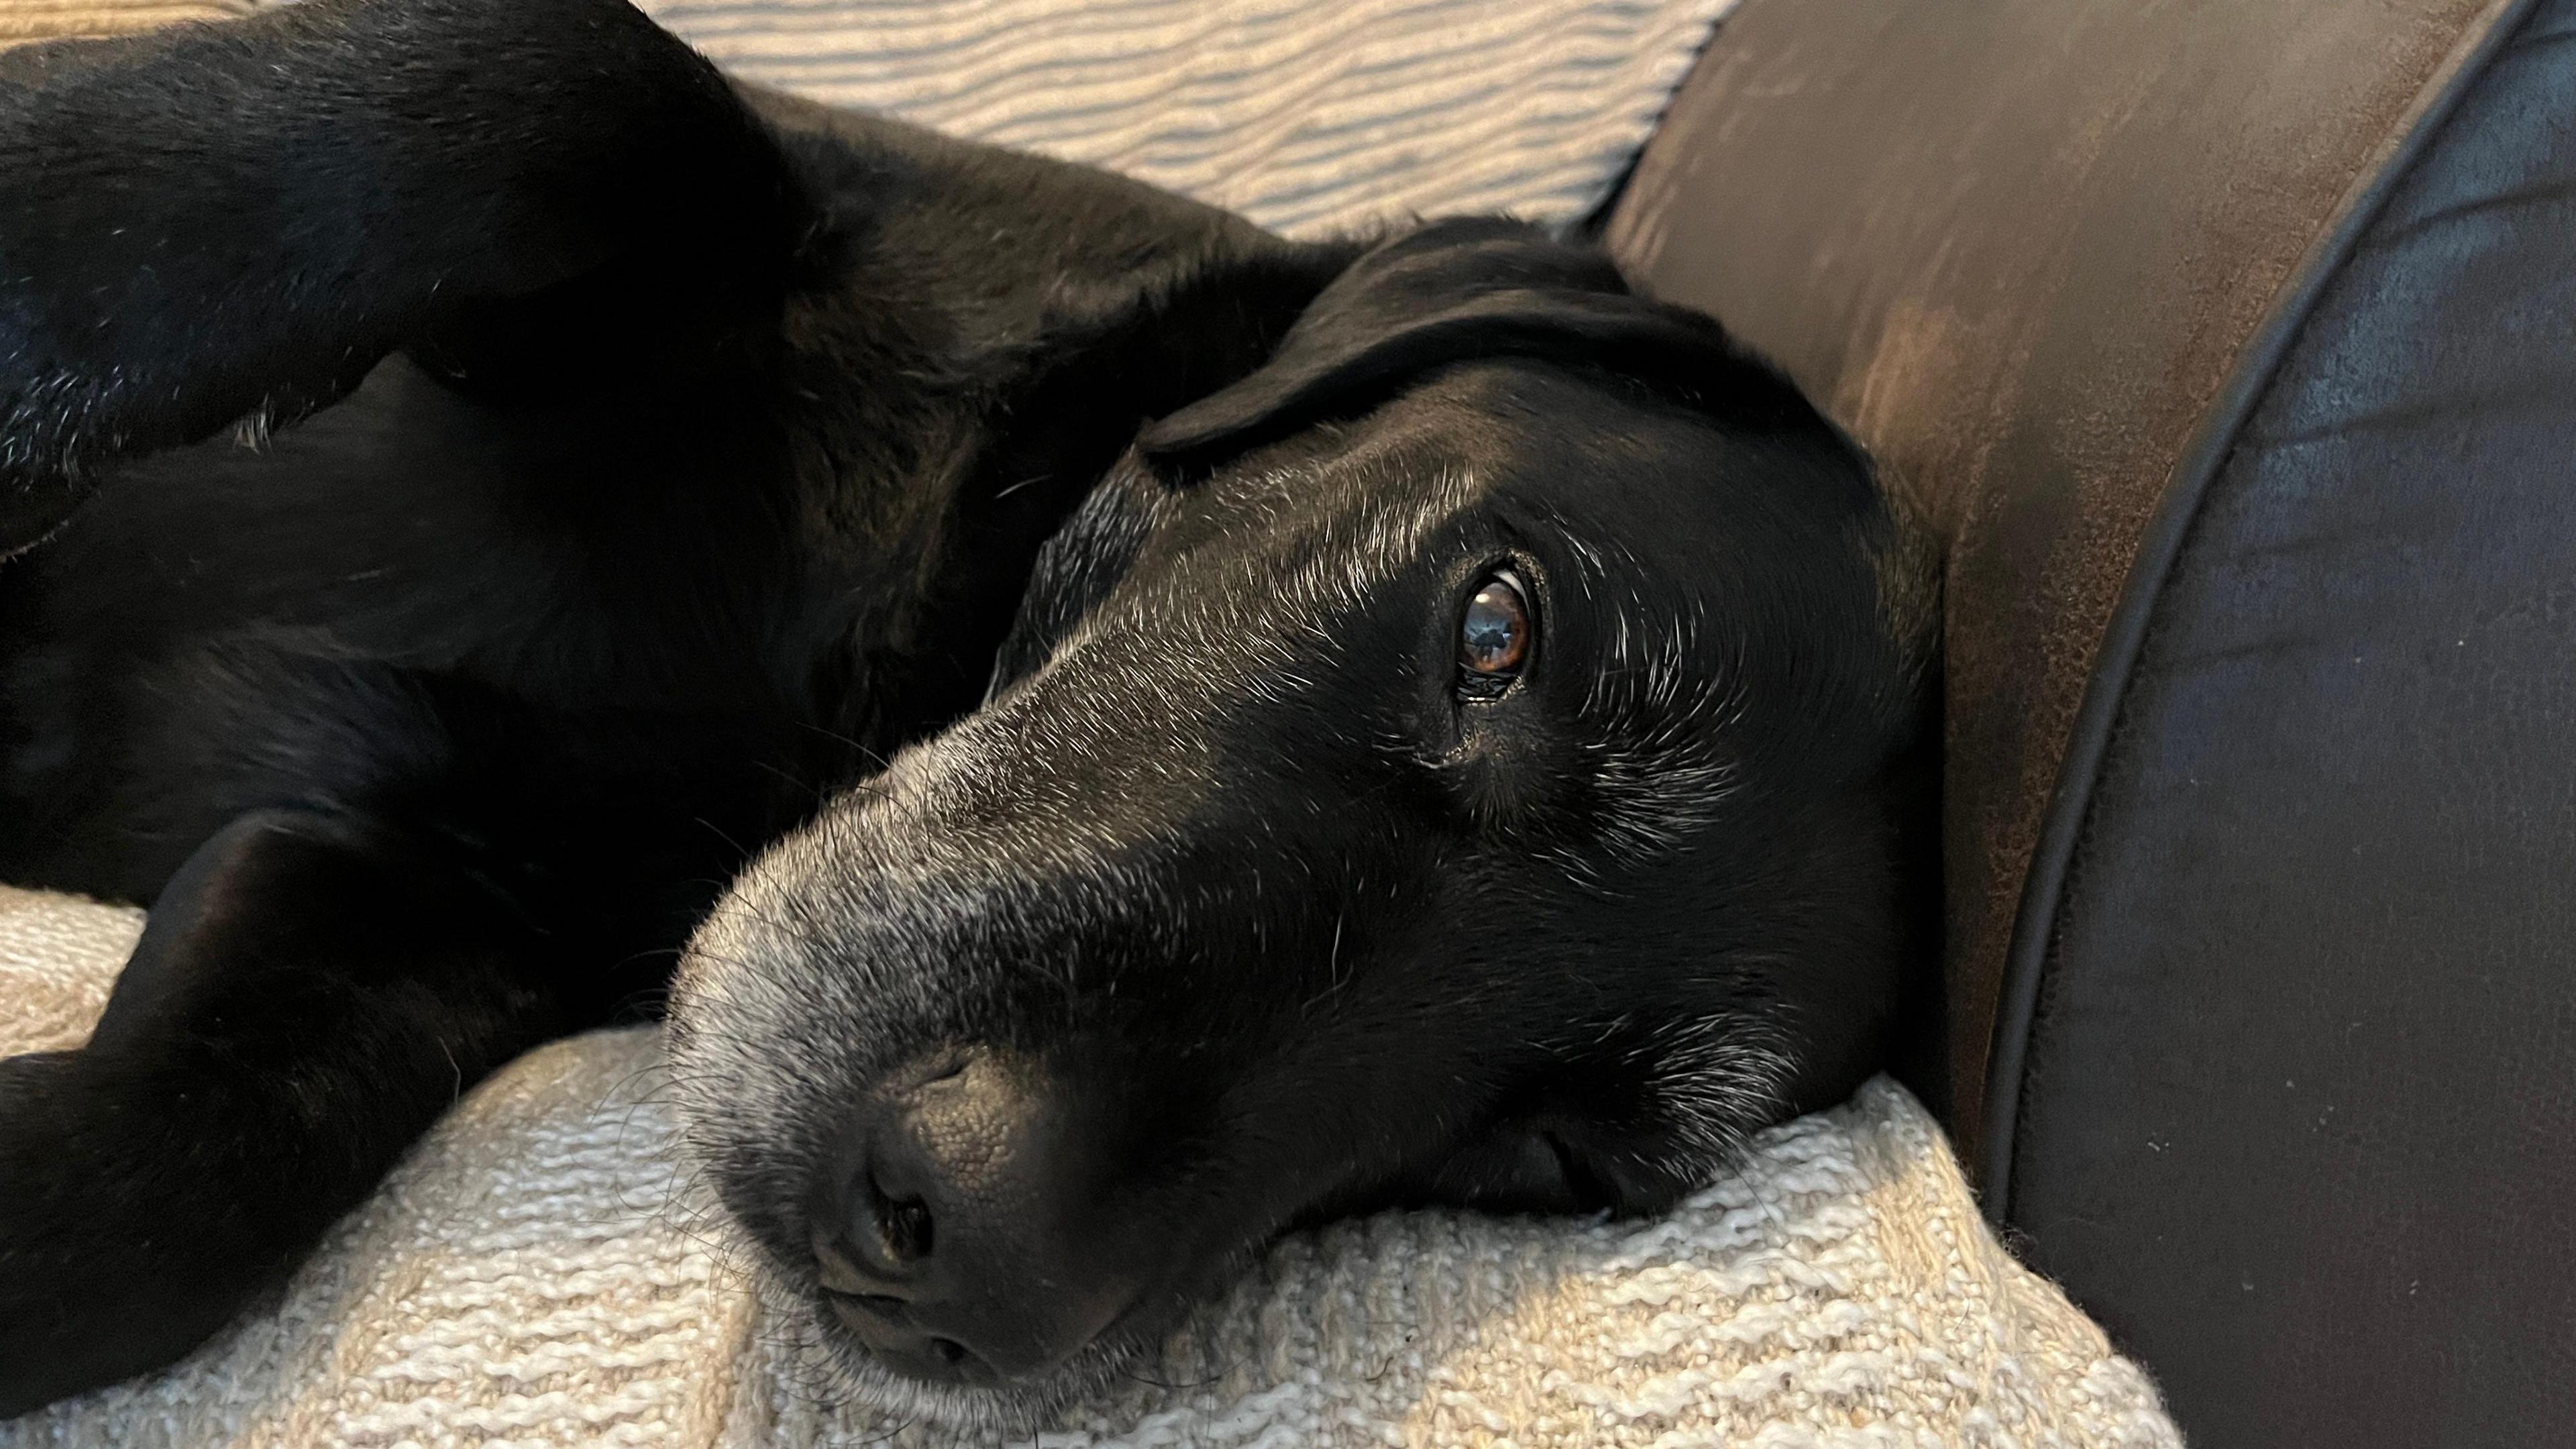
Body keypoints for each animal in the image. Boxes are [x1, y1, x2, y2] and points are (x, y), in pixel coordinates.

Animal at [0, 0, 1937, 1423]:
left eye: (1548, 1155)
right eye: (1496, 631)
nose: (963, 1264)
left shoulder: (404, 886)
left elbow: (170, 1180)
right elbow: (589, 84)